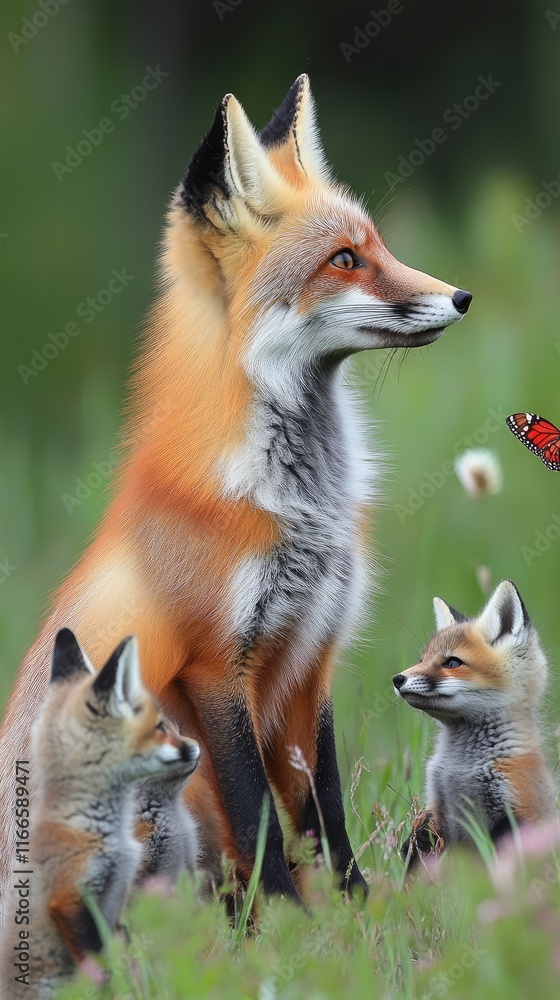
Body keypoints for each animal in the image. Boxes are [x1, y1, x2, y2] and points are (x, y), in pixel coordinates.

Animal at [0, 73, 472, 910]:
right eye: (344, 259)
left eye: (378, 247)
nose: (460, 297)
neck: (300, 506)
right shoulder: (217, 669)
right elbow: (258, 816)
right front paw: (281, 916)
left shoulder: (312, 654)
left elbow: (324, 807)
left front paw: (350, 911)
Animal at [393, 580, 557, 867]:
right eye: (422, 660)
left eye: (452, 662)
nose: (397, 679)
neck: (461, 767)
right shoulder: (436, 810)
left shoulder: (519, 809)